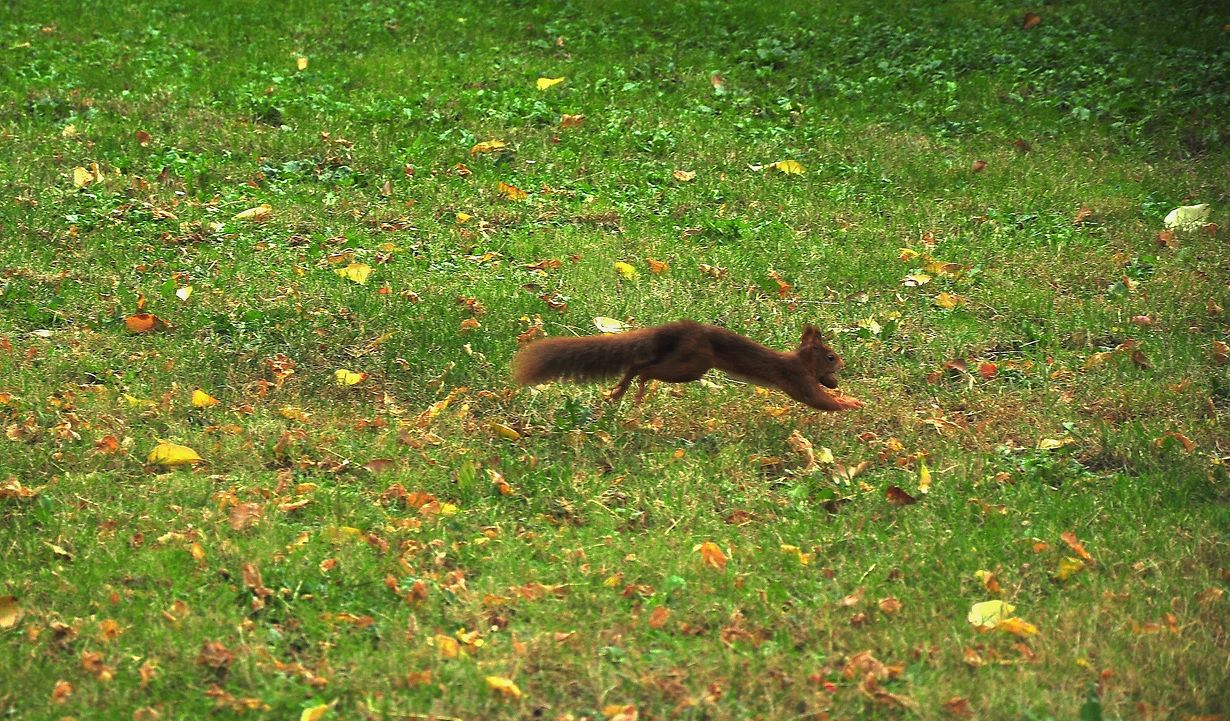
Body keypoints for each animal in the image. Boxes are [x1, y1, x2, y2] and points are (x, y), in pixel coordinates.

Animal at [512, 320, 863, 411]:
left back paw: (620, 392)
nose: (843, 363)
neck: (800, 361)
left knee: (638, 363)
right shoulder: (796, 379)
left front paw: (847, 397)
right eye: (831, 357)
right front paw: (852, 404)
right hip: (693, 365)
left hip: (681, 359)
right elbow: (818, 400)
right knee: (645, 369)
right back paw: (636, 392)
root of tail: (677, 329)